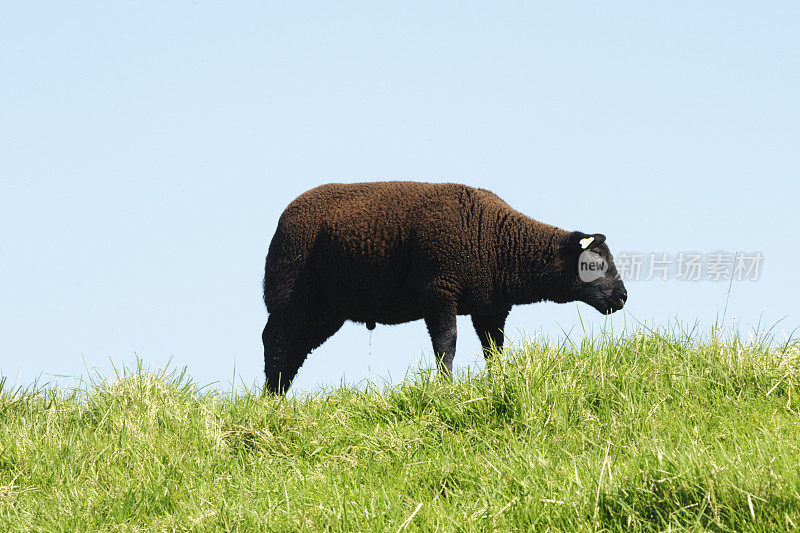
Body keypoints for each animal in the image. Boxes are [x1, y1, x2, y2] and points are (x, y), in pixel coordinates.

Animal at [262, 181, 624, 392]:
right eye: (594, 263)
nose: (622, 297)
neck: (499, 243)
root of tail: (285, 216)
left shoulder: (490, 308)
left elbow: (494, 349)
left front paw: (498, 382)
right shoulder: (439, 290)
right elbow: (446, 344)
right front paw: (446, 388)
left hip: (325, 313)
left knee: (297, 348)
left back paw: (280, 395)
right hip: (289, 295)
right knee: (275, 340)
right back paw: (269, 397)